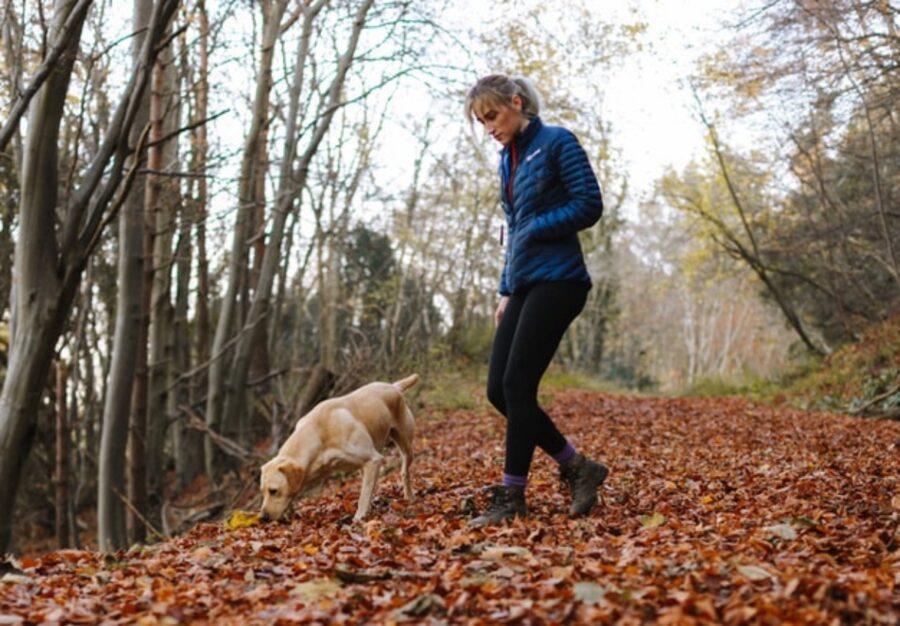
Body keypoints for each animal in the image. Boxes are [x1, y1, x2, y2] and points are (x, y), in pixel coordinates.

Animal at [258, 372, 416, 520]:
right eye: (262, 491)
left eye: (273, 491)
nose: (263, 518)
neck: (319, 432)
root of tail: (394, 386)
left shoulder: (373, 459)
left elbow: (363, 496)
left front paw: (359, 517)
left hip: (406, 446)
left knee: (404, 472)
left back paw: (408, 496)